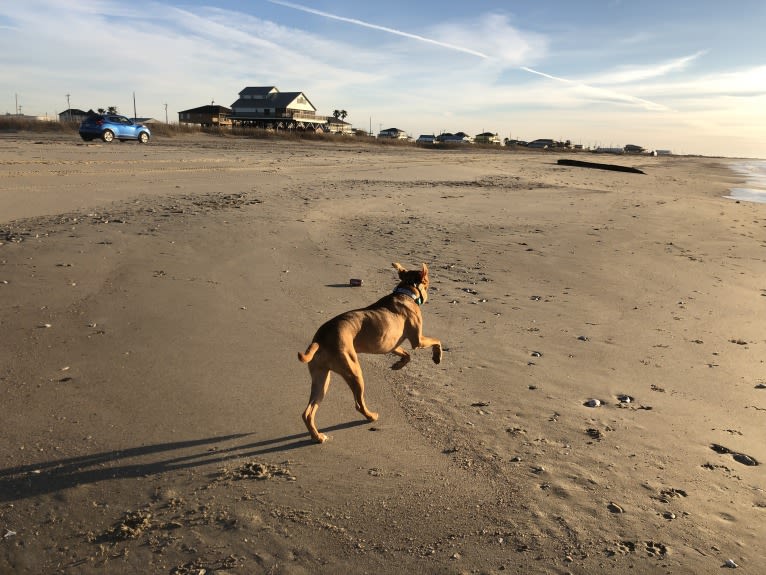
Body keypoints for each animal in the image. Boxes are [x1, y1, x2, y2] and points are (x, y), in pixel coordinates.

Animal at [300, 264, 444, 444]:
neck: (406, 291)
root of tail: (321, 339)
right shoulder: (417, 341)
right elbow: (436, 341)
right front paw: (437, 356)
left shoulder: (391, 345)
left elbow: (406, 355)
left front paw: (398, 365)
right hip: (354, 371)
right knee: (358, 404)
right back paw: (371, 417)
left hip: (321, 378)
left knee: (308, 412)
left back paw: (317, 436)